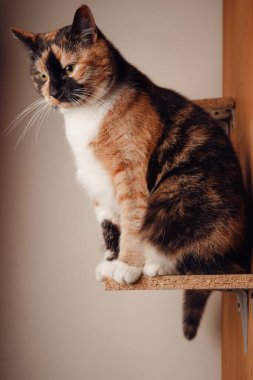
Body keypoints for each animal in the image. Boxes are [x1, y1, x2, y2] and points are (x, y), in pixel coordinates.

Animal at [11, 5, 247, 338]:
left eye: (69, 69)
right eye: (41, 75)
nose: (54, 92)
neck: (85, 118)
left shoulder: (130, 173)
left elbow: (133, 221)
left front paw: (127, 266)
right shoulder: (96, 184)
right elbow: (110, 226)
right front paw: (111, 262)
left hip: (177, 193)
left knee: (203, 260)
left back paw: (157, 266)